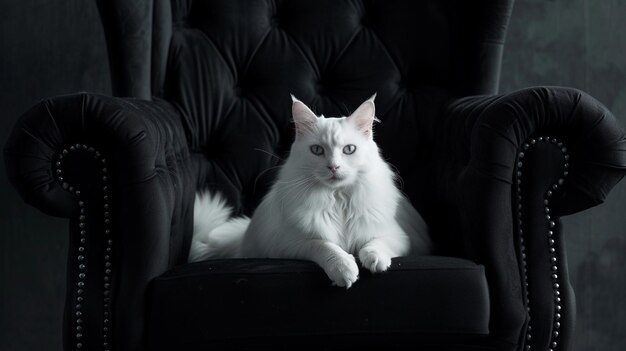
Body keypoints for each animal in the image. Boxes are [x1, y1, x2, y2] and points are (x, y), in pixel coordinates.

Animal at [188, 95, 432, 288]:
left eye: (349, 150)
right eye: (317, 150)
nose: (333, 167)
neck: (338, 199)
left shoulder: (401, 236)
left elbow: (376, 244)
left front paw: (374, 260)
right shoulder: (290, 243)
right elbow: (325, 246)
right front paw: (344, 269)